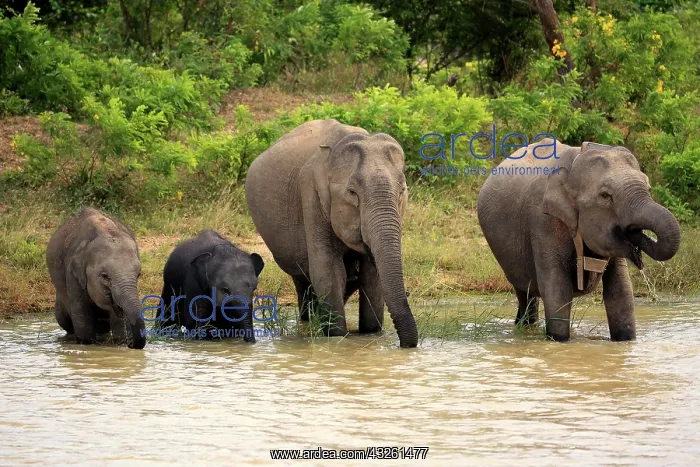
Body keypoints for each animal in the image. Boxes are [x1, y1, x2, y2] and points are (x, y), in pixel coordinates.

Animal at [46, 208, 146, 349]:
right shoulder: (72, 273)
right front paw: (86, 343)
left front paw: (120, 343)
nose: (131, 344)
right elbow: (83, 322)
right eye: (105, 276)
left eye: (138, 274)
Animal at [245, 119, 418, 348]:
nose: (404, 346)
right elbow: (328, 272)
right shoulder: (311, 196)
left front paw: (370, 335)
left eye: (402, 191)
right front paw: (337, 337)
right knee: (303, 283)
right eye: (352, 193)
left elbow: (372, 277)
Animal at [477, 139, 681, 342]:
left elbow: (620, 291)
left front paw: (626, 341)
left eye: (649, 189)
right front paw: (558, 341)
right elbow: (558, 290)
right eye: (605, 195)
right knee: (524, 291)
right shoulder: (543, 222)